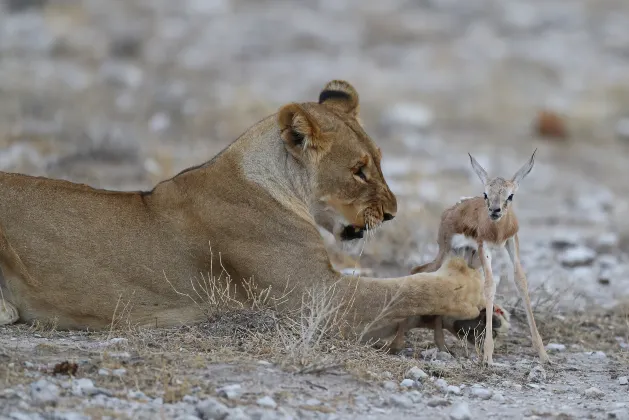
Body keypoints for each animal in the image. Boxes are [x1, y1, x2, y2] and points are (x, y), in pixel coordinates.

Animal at [410, 150, 548, 364]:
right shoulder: (485, 247)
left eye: (510, 195)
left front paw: (543, 354)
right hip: (447, 251)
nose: (494, 211)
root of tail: (452, 209)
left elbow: (521, 281)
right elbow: (490, 285)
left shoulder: (511, 242)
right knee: (420, 271)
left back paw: (442, 346)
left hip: (469, 257)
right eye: (485, 194)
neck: (497, 230)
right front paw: (488, 356)